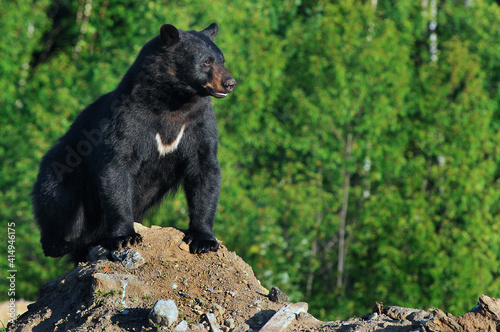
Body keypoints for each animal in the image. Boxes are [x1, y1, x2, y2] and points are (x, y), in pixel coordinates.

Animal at [32, 23, 237, 262]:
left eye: (222, 60)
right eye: (206, 62)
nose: (230, 83)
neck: (173, 102)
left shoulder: (198, 123)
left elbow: (205, 168)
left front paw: (204, 240)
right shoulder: (128, 118)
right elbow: (117, 166)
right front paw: (125, 236)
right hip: (62, 168)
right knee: (57, 199)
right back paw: (57, 244)